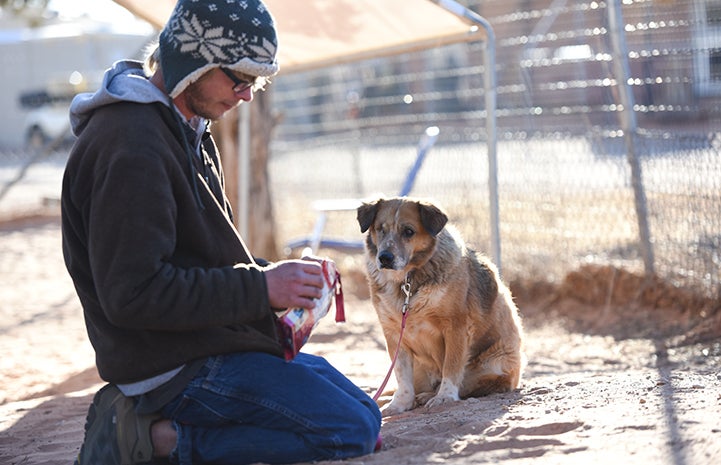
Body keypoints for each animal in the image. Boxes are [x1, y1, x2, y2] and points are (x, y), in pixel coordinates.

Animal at [358, 196, 524, 414]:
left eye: (408, 231)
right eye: (380, 229)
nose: (385, 258)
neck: (408, 282)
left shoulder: (455, 326)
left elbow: (451, 367)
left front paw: (445, 397)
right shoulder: (393, 333)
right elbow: (401, 376)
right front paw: (400, 403)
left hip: (495, 363)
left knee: (469, 384)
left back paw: (429, 396)